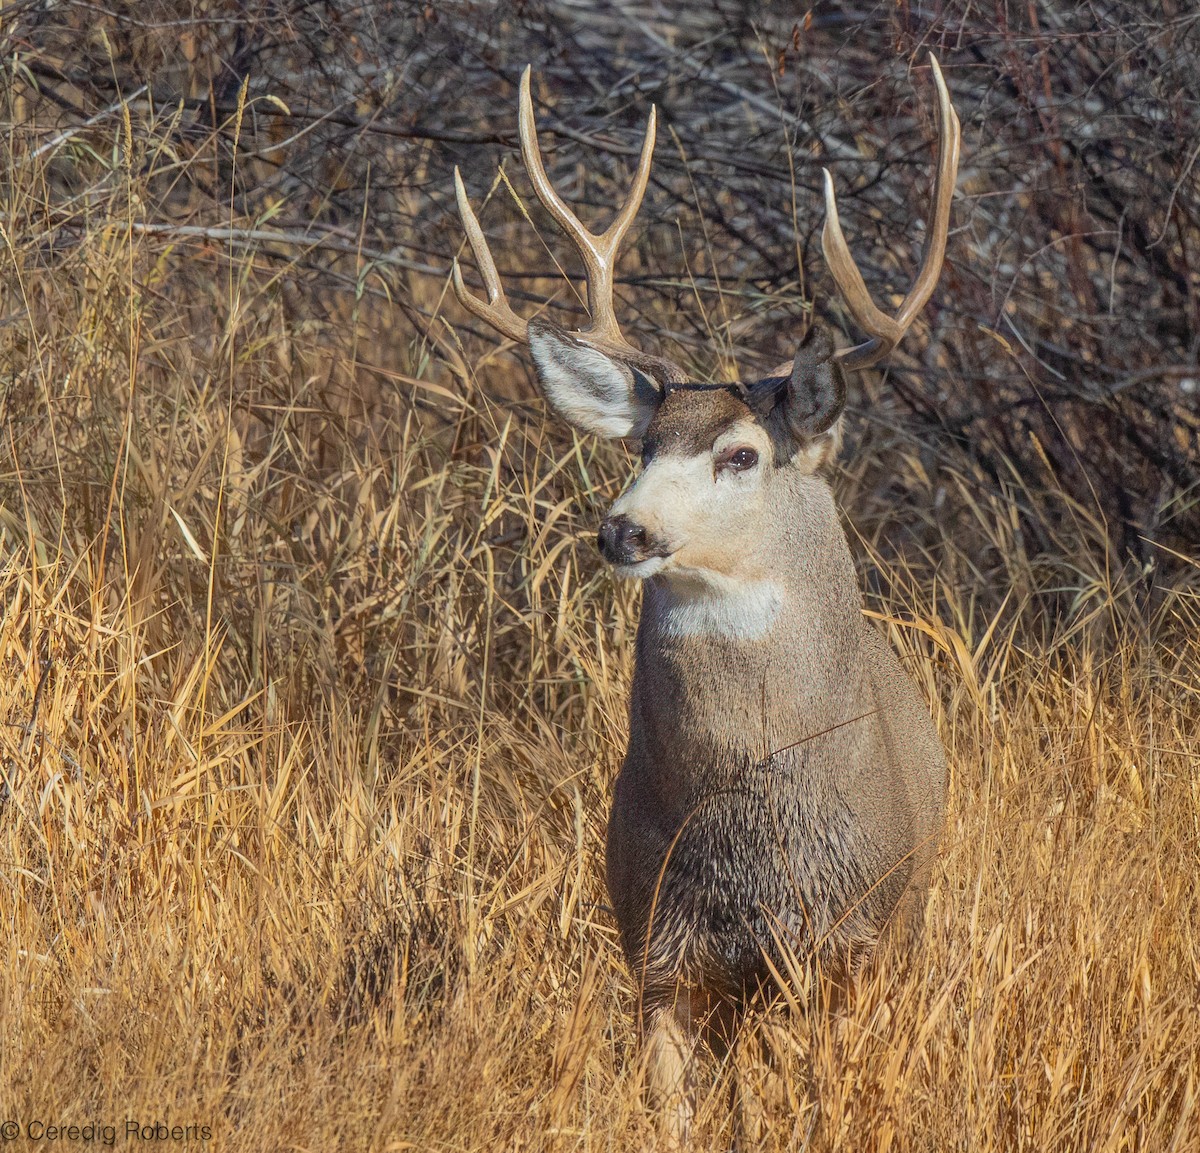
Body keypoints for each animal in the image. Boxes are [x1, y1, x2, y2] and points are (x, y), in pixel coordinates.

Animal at [451, 59, 958, 1144]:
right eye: (644, 444)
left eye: (741, 454)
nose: (623, 530)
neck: (748, 830)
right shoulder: (656, 946)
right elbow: (675, 1109)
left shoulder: (846, 940)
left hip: (907, 924)